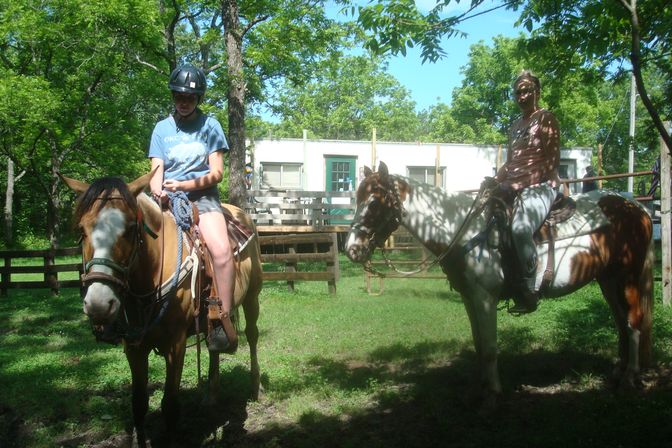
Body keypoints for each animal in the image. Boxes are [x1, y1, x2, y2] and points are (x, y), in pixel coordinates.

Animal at [62, 171, 262, 444]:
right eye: (82, 230)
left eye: (130, 229)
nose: (98, 304)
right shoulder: (133, 347)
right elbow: (138, 405)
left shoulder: (175, 345)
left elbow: (170, 405)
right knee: (214, 346)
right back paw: (211, 395)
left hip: (253, 297)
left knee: (252, 336)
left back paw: (256, 387)